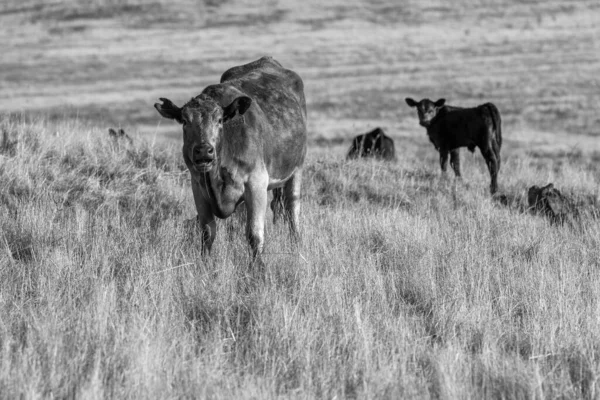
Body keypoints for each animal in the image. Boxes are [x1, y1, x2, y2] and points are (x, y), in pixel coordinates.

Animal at [155, 56, 308, 260]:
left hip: (297, 169)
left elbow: (254, 235)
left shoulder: (257, 183)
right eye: (185, 122)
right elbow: (207, 234)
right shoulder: (197, 186)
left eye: (220, 120)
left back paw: (297, 245)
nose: (204, 150)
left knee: (292, 211)